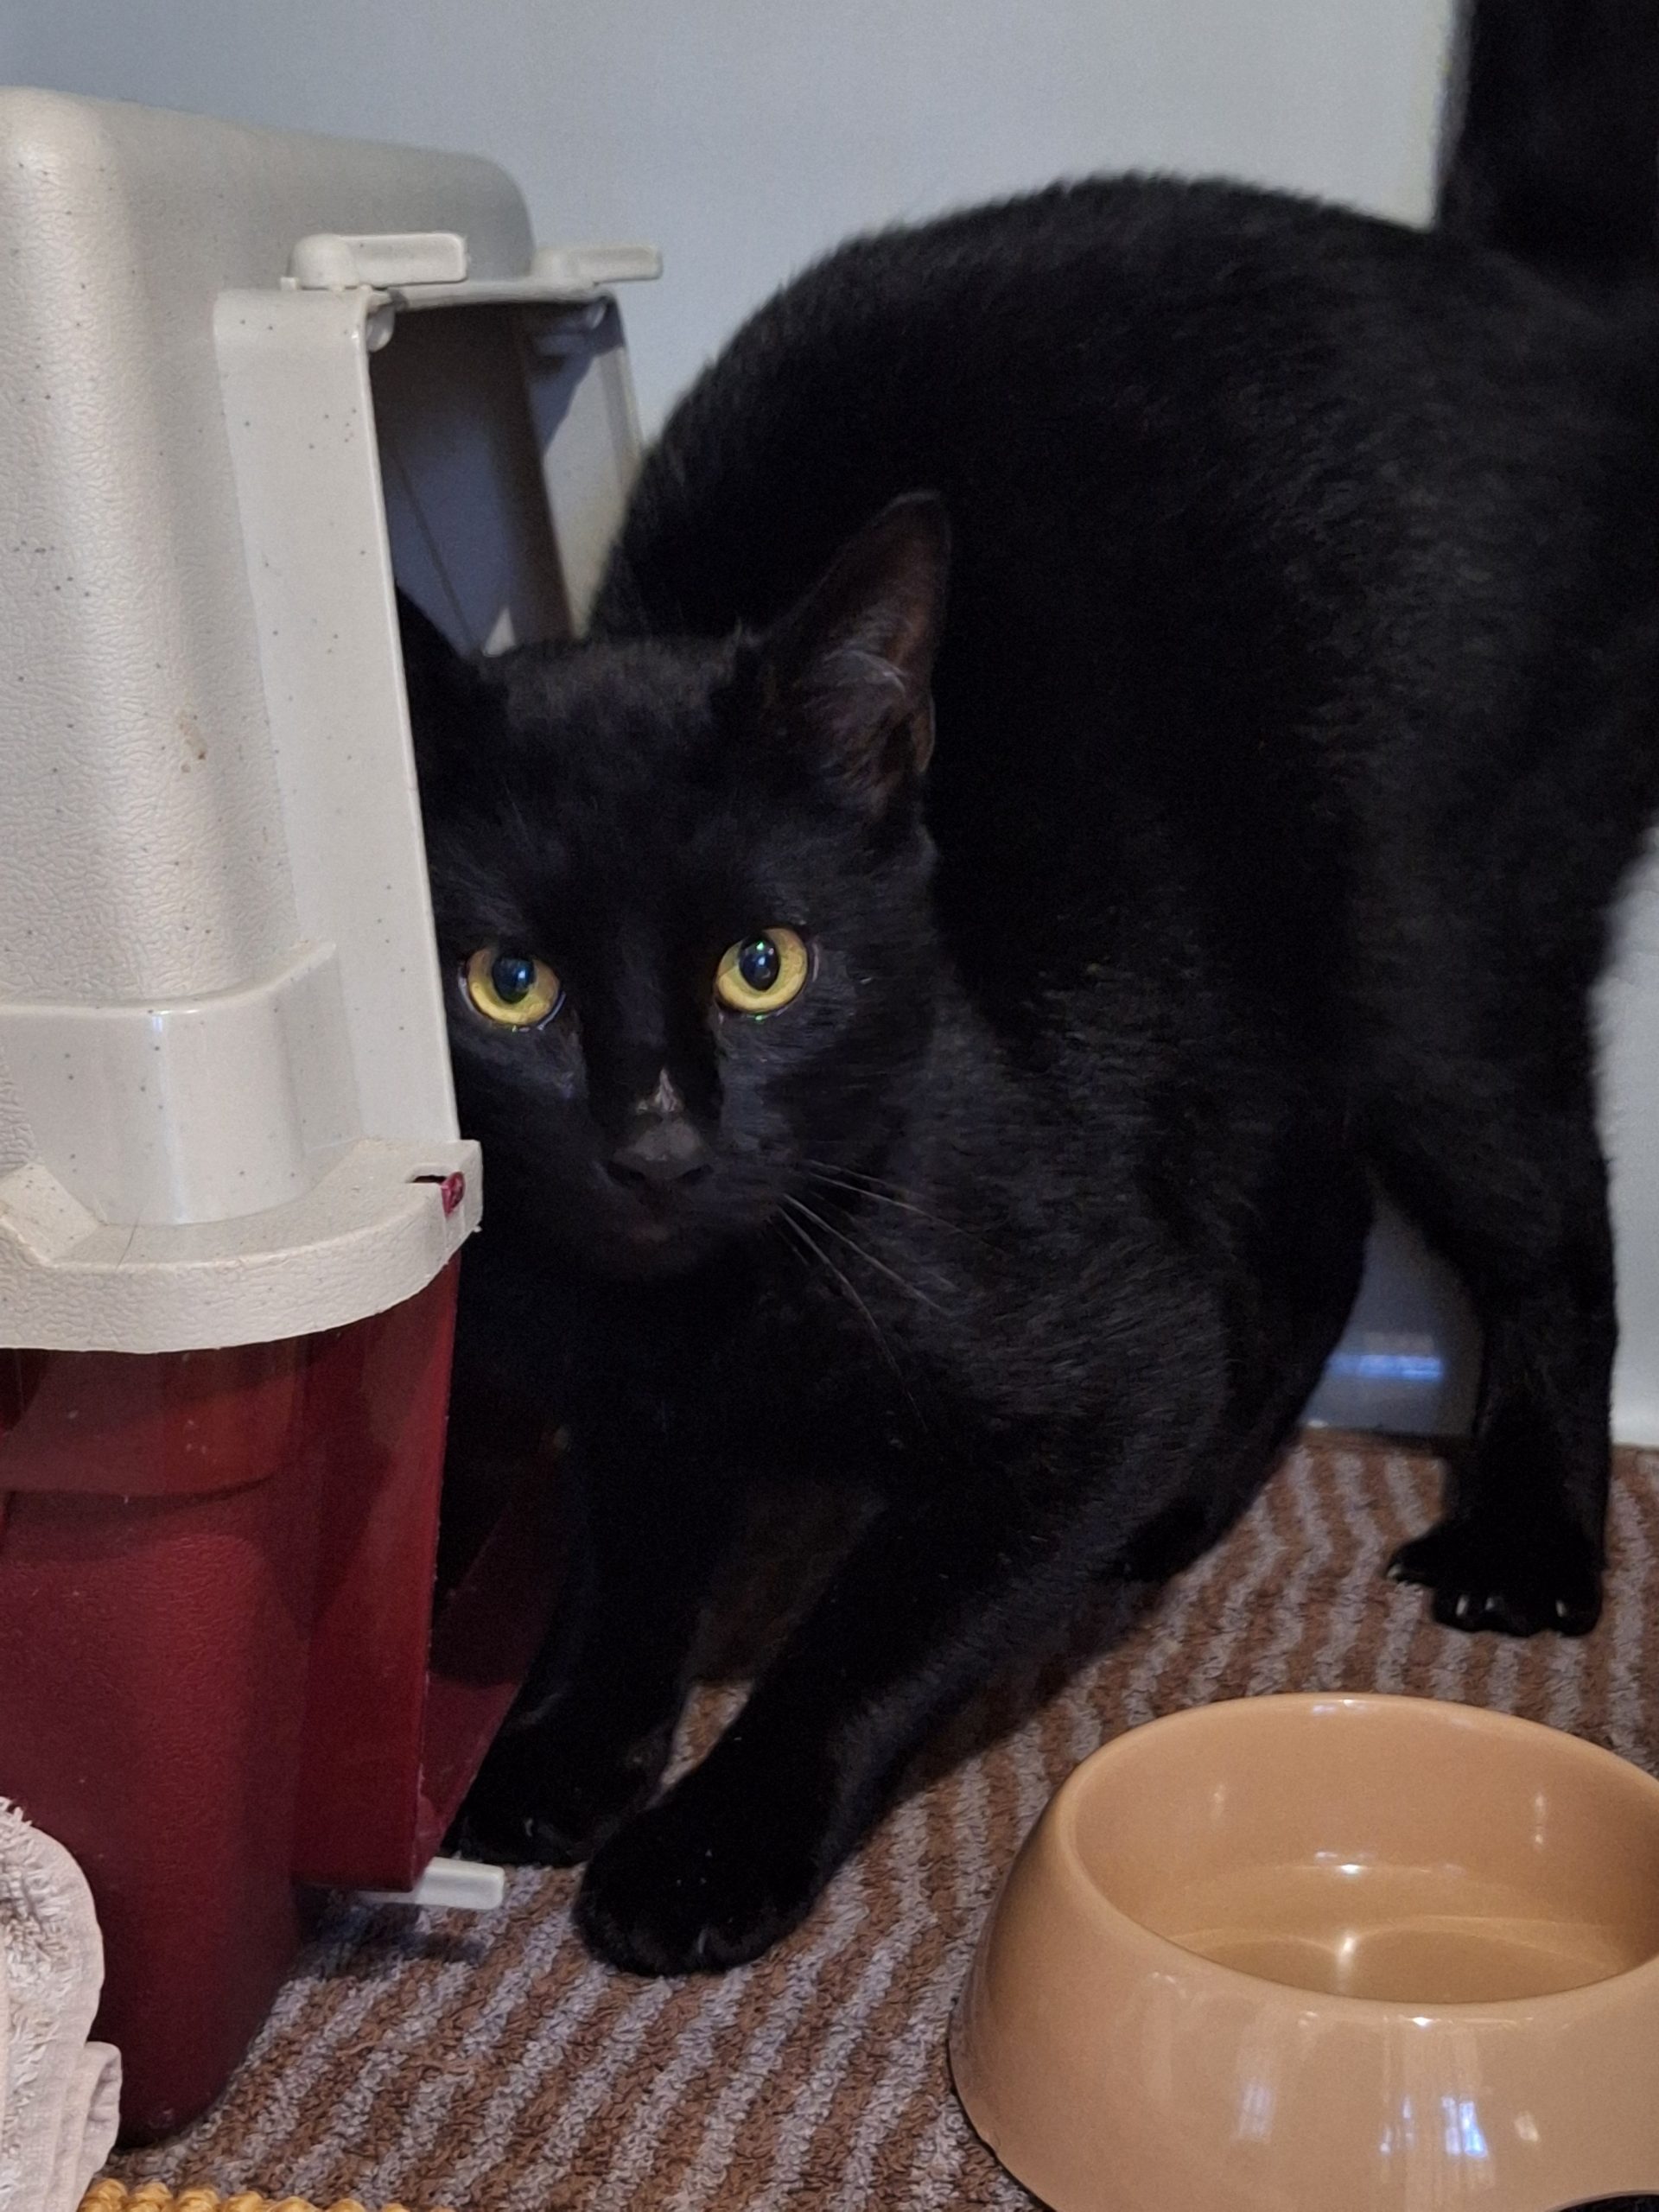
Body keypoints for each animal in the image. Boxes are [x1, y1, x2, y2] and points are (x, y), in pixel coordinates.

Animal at [407, 0, 1659, 1975]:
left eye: (763, 964)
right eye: (509, 983)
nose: (656, 1137)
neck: (714, 1309)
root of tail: (1529, 298)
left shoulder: (1081, 1367)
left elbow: (866, 1634)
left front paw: (708, 1846)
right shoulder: (615, 1385)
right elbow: (626, 1562)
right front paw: (562, 1749)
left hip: (1424, 955)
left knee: (1544, 1224)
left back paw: (1524, 1543)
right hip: (1225, 1016)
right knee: (1301, 1242)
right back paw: (1190, 1509)